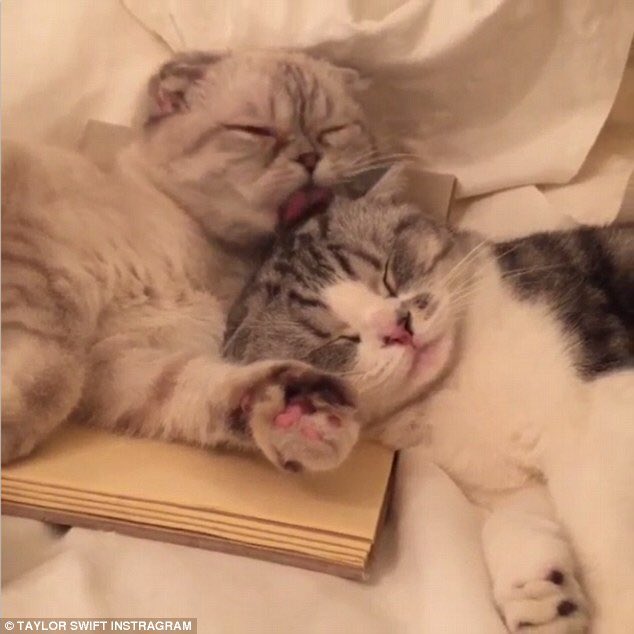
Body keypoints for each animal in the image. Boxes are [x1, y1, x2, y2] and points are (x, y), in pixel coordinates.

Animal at [1, 49, 388, 468]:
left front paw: (299, 414)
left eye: (332, 130)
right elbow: (51, 373)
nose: (310, 156)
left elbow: (200, 386)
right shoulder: (41, 261)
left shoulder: (122, 359)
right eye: (256, 130)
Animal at [223, 179, 634, 633]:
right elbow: (512, 522)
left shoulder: (603, 409)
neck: (455, 383)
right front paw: (537, 592)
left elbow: (606, 537)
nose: (398, 326)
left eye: (387, 274)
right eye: (337, 338)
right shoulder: (503, 483)